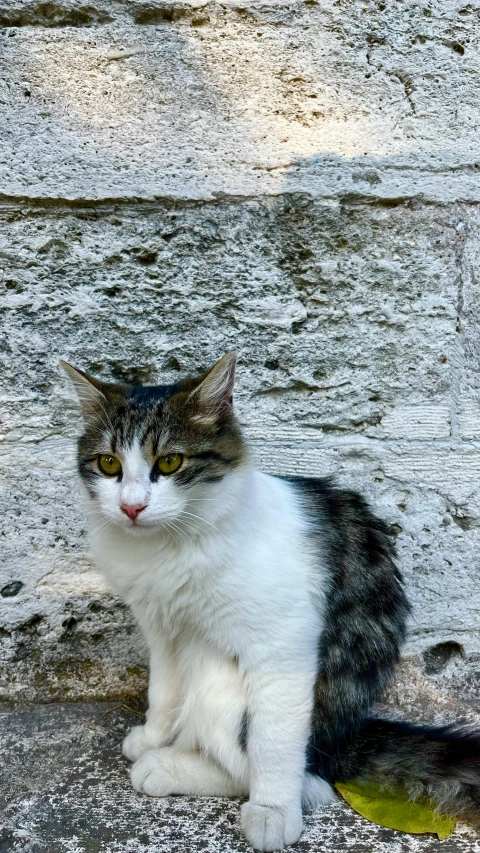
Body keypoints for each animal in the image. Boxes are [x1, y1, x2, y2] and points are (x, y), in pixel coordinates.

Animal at [62, 350, 480, 848]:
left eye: (170, 461)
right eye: (109, 464)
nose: (131, 506)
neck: (170, 545)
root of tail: (344, 741)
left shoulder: (283, 642)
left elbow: (273, 742)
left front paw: (273, 810)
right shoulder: (163, 628)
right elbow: (163, 691)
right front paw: (153, 735)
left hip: (232, 682)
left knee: (299, 776)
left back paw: (172, 769)